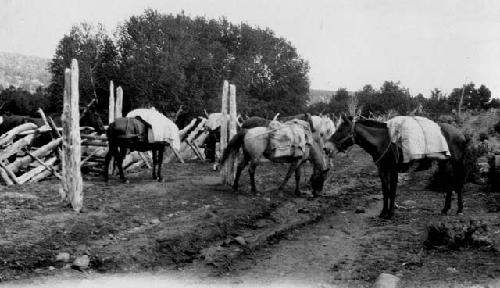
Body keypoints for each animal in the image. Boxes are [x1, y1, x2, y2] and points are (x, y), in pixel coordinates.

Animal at [328, 115, 468, 218]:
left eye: (340, 130)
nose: (326, 148)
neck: (384, 141)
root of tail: (461, 134)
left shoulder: (393, 170)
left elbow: (392, 191)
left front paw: (390, 213)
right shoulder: (382, 170)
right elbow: (385, 191)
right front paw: (383, 212)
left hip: (455, 163)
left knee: (458, 183)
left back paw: (460, 209)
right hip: (444, 163)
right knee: (449, 184)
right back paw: (445, 209)